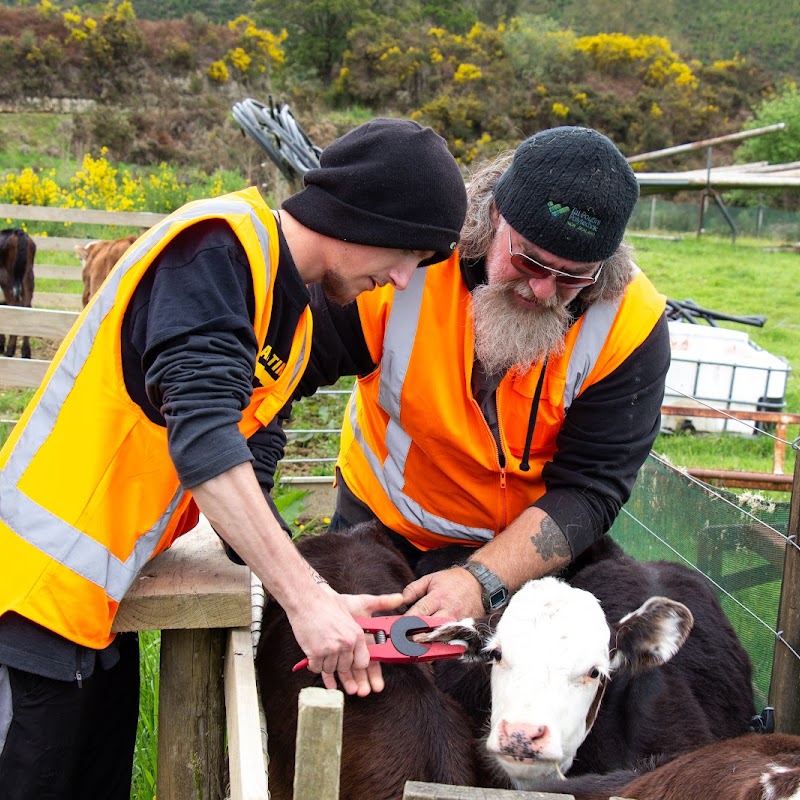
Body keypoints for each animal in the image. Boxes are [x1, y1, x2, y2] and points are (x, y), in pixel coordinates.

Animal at [0, 228, 36, 360]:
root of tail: (18, 231)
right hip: (28, 277)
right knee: (26, 307)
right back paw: (26, 352)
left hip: (6, 279)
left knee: (15, 306)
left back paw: (10, 351)